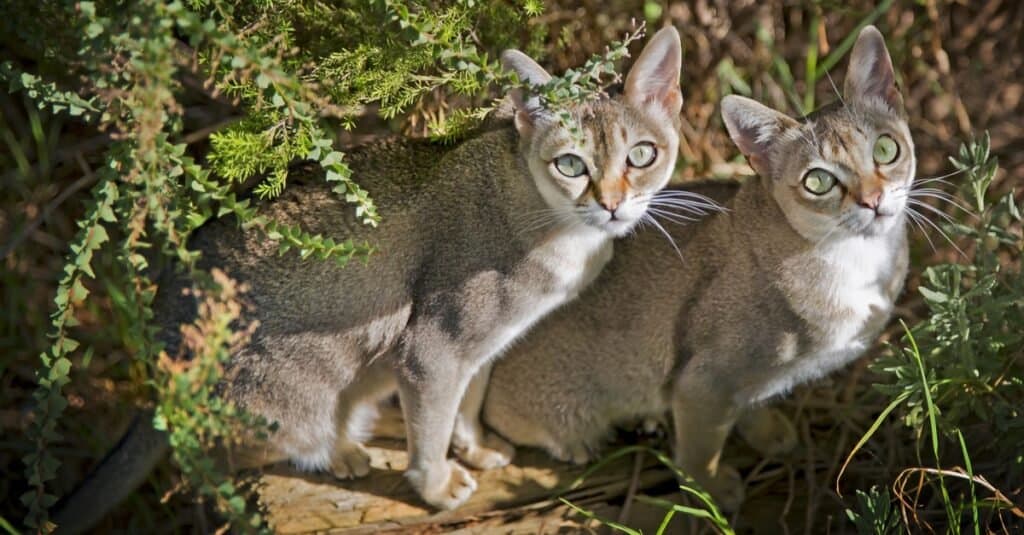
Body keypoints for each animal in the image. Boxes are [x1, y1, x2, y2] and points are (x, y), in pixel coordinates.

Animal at [51, 26, 684, 528]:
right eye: (571, 164)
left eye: (642, 156)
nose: (611, 204)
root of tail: (163, 339)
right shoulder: (433, 350)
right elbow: (432, 428)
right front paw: (436, 485)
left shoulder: (481, 347)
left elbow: (468, 405)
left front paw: (476, 449)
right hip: (299, 392)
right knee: (222, 454)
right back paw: (340, 451)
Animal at [479, 24, 913, 508]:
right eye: (818, 180)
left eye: (886, 149)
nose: (873, 200)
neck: (854, 262)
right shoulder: (703, 382)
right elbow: (700, 451)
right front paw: (712, 491)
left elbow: (754, 403)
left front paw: (768, 432)